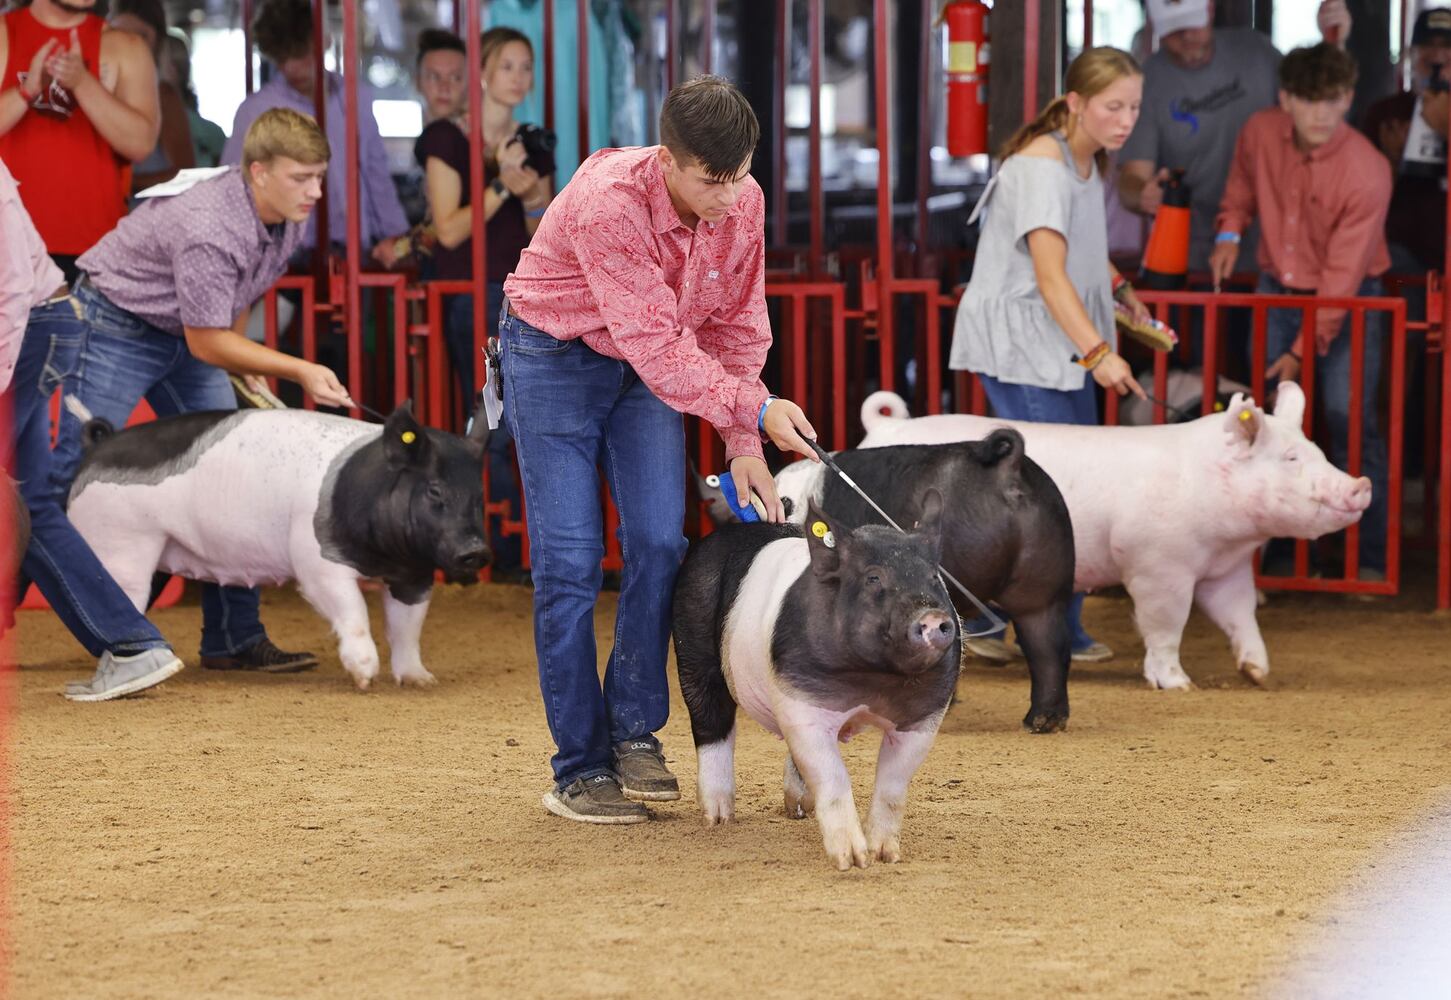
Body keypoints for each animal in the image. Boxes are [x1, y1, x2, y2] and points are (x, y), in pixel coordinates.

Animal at [65, 397, 493, 685]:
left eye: (478, 495)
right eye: (435, 491)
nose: (476, 551)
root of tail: (97, 445)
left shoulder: (414, 574)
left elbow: (407, 628)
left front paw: (421, 680)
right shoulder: (315, 561)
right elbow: (353, 610)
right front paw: (365, 677)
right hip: (119, 543)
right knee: (116, 596)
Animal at [670, 490, 963, 865]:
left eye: (933, 578)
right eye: (873, 578)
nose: (932, 617)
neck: (873, 680)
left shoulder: (924, 717)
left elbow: (893, 785)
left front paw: (886, 855)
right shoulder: (801, 702)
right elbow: (834, 777)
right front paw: (852, 861)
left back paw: (799, 809)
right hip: (692, 641)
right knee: (711, 721)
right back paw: (718, 818)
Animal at [858, 383, 1369, 685]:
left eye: (1317, 450)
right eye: (1290, 459)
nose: (1361, 485)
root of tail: (887, 423)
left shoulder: (1226, 569)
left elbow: (1240, 614)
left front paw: (1258, 672)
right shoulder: (1158, 565)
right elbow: (1166, 623)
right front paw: (1177, 684)